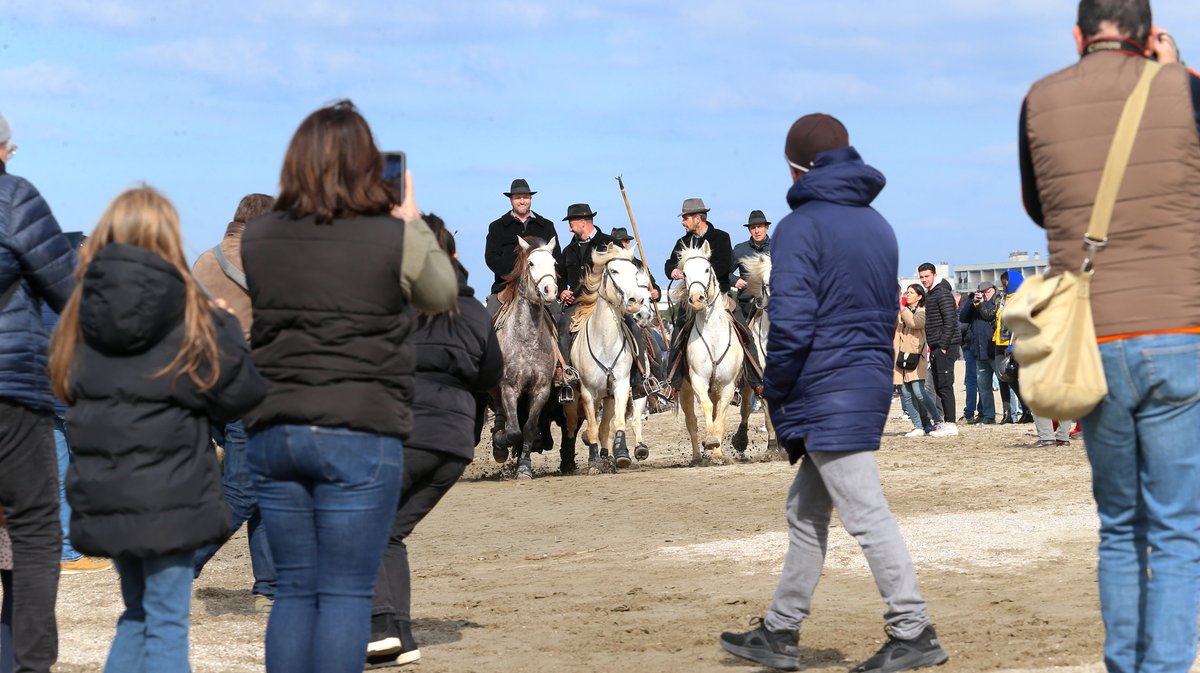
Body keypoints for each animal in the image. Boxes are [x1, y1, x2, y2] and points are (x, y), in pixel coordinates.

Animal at [564, 243, 648, 470]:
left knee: (606, 426)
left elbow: (616, 423)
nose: (635, 301)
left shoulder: (620, 386)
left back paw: (608, 456)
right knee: (576, 425)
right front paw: (593, 461)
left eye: (635, 272)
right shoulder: (587, 392)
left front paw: (621, 454)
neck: (605, 343)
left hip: (608, 396)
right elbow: (592, 427)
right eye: (614, 271)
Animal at [672, 239, 744, 460]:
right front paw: (710, 441)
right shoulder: (698, 380)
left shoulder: (728, 385)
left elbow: (720, 414)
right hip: (686, 390)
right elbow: (706, 407)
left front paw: (717, 450)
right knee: (691, 421)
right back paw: (697, 455)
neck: (713, 337)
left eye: (706, 269)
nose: (696, 299)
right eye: (684, 274)